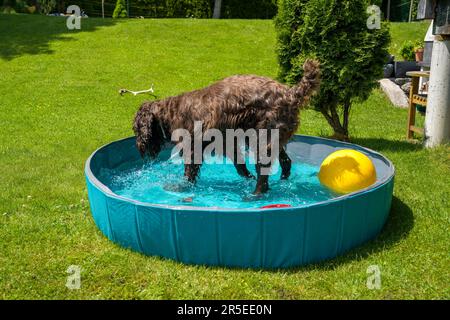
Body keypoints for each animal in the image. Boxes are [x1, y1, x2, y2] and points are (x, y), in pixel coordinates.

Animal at [133, 60, 320, 195]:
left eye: (136, 130)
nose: (139, 147)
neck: (170, 112)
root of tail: (291, 93)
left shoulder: (193, 148)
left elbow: (189, 173)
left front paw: (181, 187)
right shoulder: (227, 143)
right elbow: (240, 165)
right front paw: (247, 177)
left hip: (263, 137)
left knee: (264, 172)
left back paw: (255, 195)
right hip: (273, 137)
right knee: (286, 162)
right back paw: (282, 181)